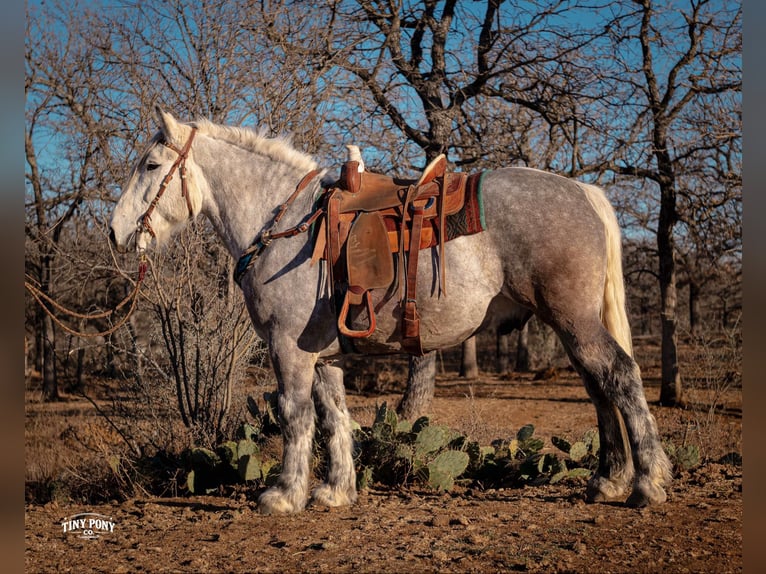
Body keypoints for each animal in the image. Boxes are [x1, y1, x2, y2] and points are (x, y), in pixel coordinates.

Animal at [110, 106, 672, 515]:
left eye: (152, 166)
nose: (115, 232)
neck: (283, 221)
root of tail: (582, 190)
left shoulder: (288, 349)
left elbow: (294, 416)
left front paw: (284, 495)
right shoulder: (323, 356)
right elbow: (334, 416)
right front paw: (335, 492)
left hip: (575, 322)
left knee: (621, 376)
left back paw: (646, 484)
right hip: (571, 325)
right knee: (599, 387)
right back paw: (608, 481)